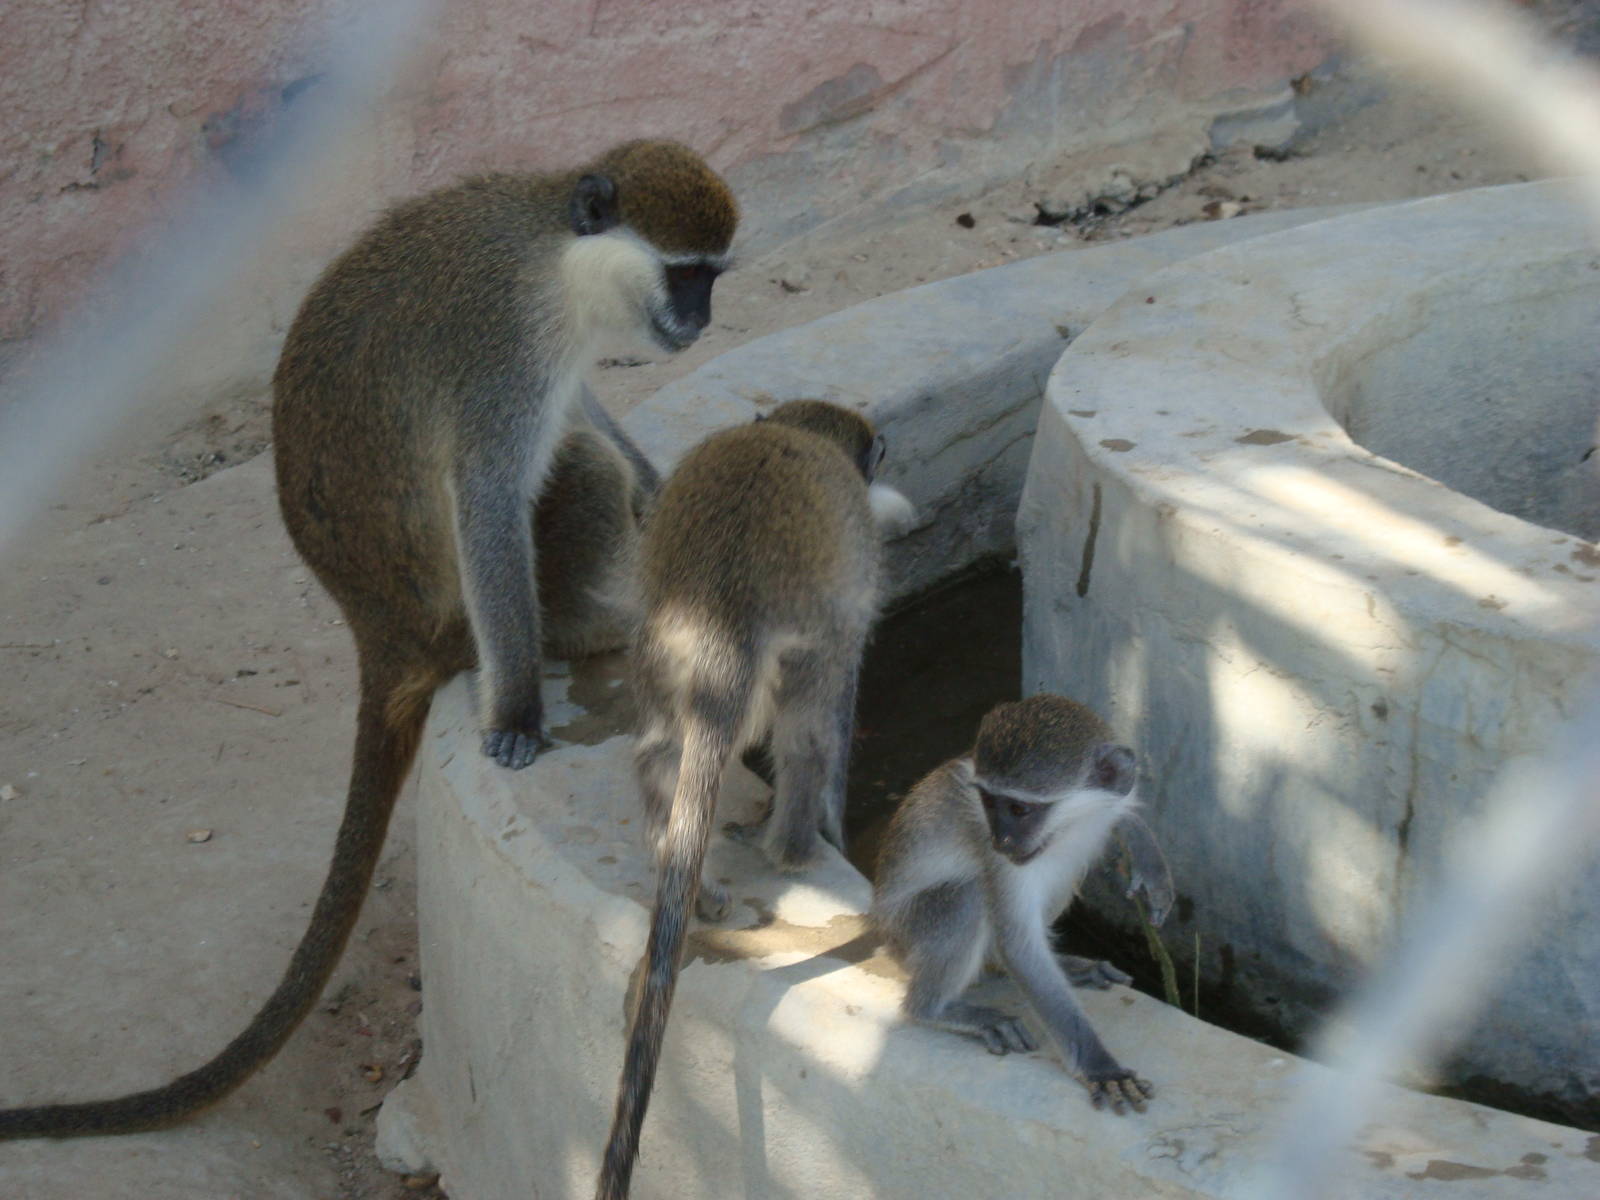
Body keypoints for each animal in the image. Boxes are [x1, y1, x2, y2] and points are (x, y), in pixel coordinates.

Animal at [0, 139, 734, 1141]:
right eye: (685, 274)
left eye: (712, 276)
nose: (702, 320)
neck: (555, 254)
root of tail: (379, 631)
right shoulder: (501, 359)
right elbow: (491, 500)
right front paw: (515, 713)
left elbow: (585, 405)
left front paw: (659, 488)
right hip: (463, 615)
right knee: (572, 474)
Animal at [595, 399, 911, 1200]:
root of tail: (720, 610)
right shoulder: (847, 598)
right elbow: (833, 714)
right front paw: (825, 827)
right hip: (801, 633)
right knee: (811, 721)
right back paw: (796, 844)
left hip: (659, 645)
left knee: (659, 748)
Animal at [870, 693, 1175, 1115]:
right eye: (988, 801)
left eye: (1019, 809)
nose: (1003, 840)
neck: (1066, 827)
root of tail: (879, 926)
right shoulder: (994, 852)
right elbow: (1019, 945)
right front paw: (1099, 1065)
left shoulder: (1104, 800)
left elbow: (1123, 807)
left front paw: (1148, 857)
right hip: (907, 930)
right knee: (969, 897)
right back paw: (933, 1009)